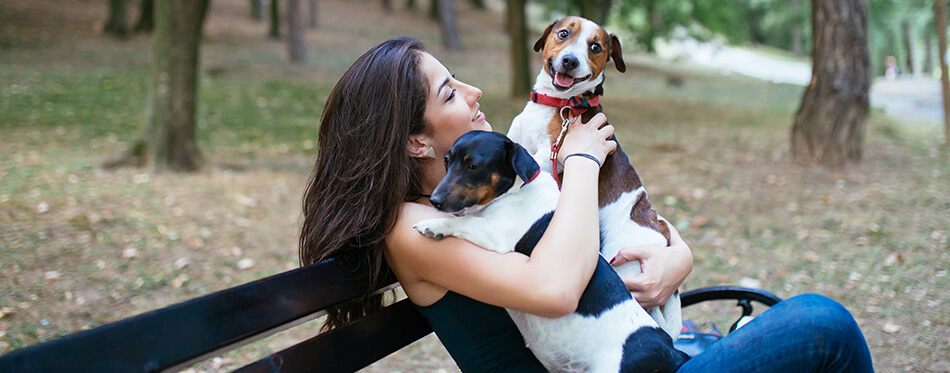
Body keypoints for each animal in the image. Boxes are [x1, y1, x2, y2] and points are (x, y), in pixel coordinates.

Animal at [412, 130, 688, 370]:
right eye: (446, 161)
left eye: (473, 166)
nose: (435, 201)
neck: (516, 189)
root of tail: (671, 350)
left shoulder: (496, 234)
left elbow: (462, 222)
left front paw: (433, 225)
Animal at [506, 16, 684, 338]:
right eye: (563, 33)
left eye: (596, 47)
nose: (569, 61)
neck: (558, 104)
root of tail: (660, 233)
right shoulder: (516, 139)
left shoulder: (547, 156)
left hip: (621, 259)